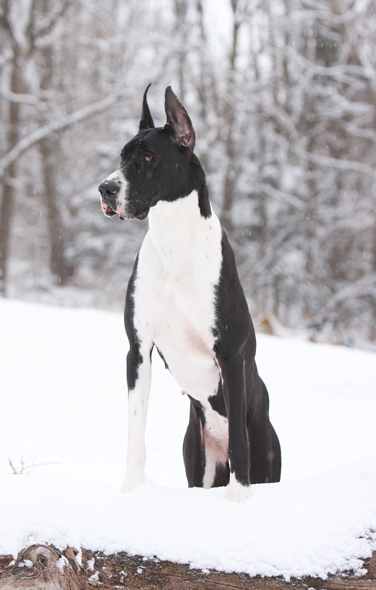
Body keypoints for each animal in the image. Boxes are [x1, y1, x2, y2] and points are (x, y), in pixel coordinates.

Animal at [98, 86, 280, 504]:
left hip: (266, 448)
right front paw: (130, 491)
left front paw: (239, 500)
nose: (105, 189)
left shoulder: (229, 353)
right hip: (197, 458)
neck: (174, 240)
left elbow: (239, 442)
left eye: (148, 157)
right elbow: (136, 432)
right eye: (121, 157)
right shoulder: (138, 349)